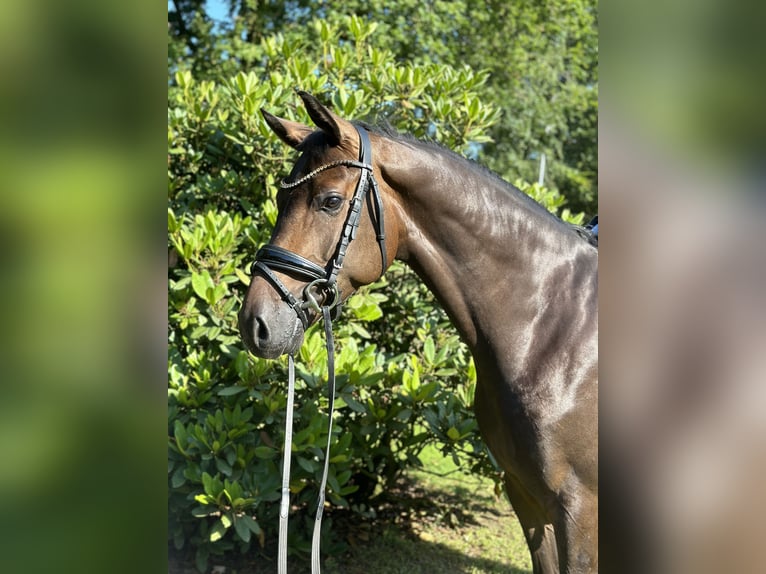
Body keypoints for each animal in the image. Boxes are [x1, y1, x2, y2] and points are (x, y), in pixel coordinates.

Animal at [240, 91, 600, 574]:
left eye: (330, 201)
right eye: (281, 199)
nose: (255, 323)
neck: (554, 329)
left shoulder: (580, 511)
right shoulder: (527, 498)